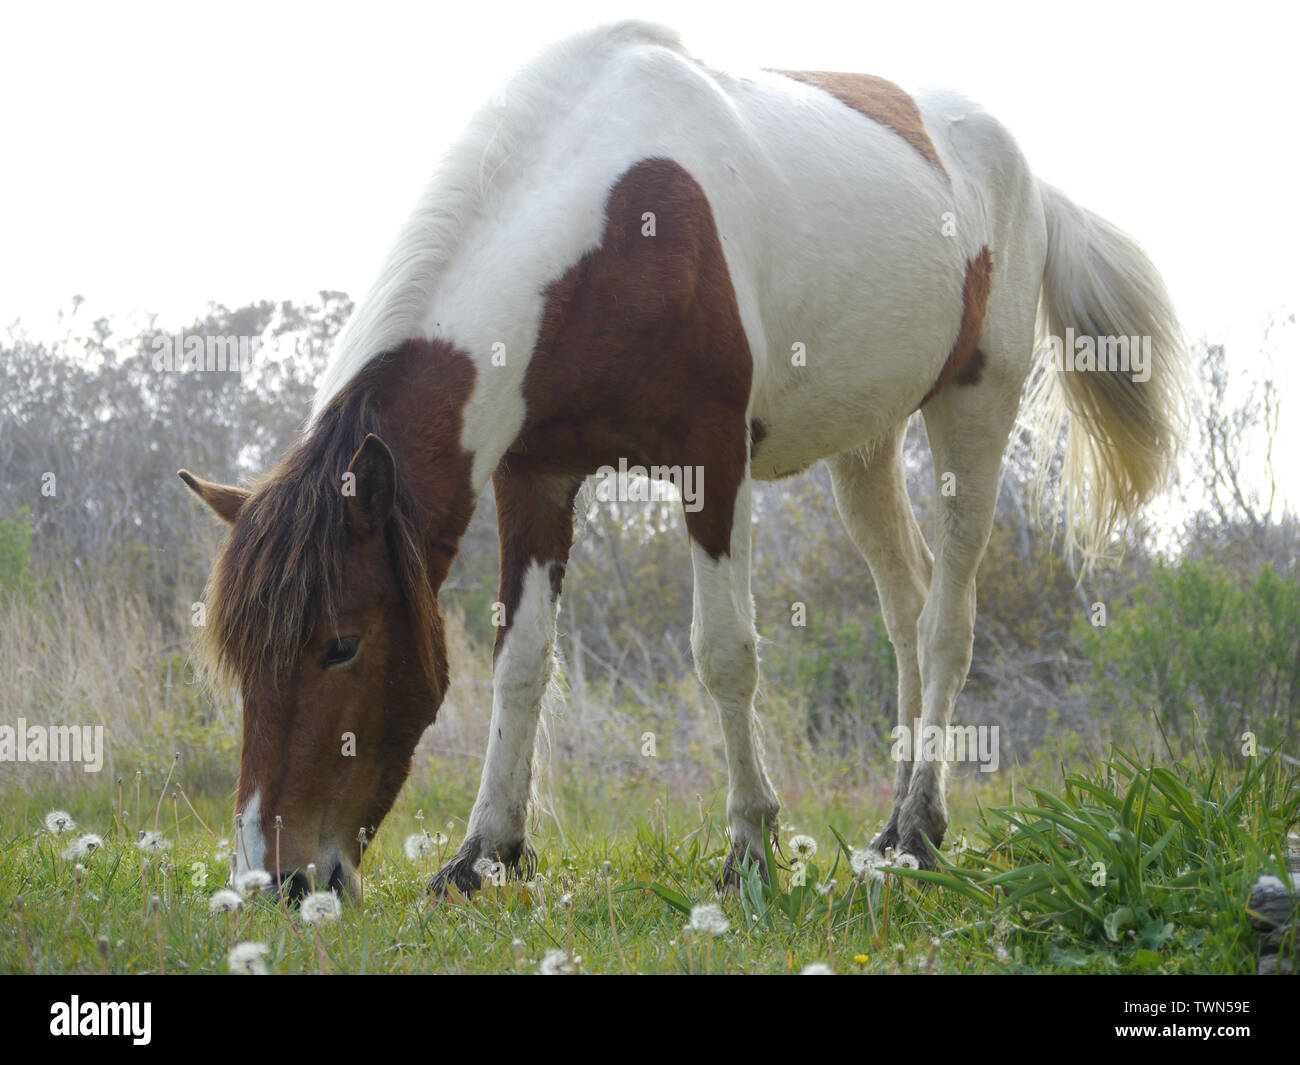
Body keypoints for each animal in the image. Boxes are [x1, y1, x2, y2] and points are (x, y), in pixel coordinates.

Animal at [180, 18, 1190, 899]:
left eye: (341, 644)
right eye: (240, 656)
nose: (279, 878)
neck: (612, 223)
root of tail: (1023, 172)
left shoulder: (714, 464)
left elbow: (725, 653)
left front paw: (749, 849)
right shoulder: (533, 477)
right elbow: (522, 659)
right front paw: (484, 853)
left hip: (973, 409)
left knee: (948, 619)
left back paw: (916, 829)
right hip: (864, 446)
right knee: (907, 606)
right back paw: (901, 824)